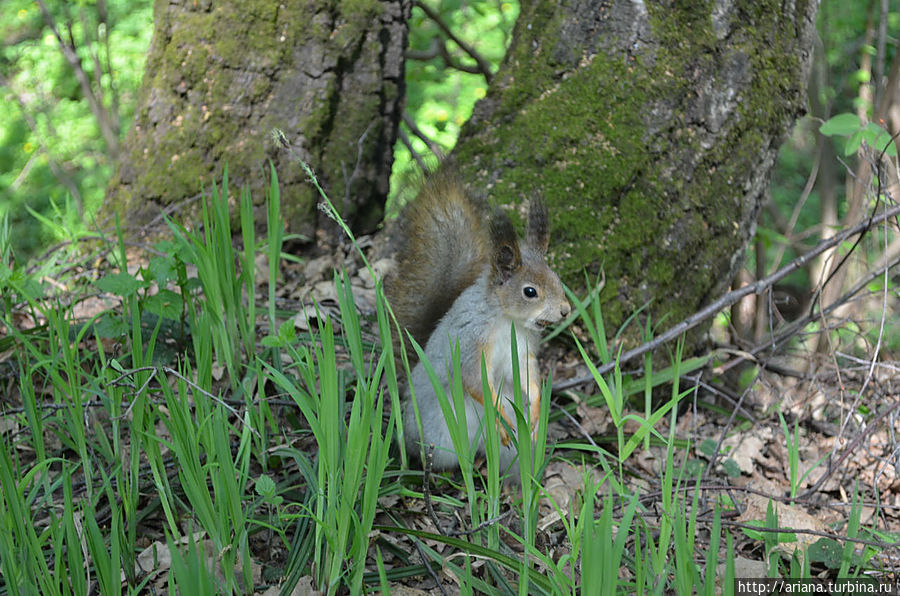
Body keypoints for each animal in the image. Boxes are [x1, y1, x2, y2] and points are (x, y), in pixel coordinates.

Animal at [386, 170, 568, 478]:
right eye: (530, 292)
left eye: (557, 278)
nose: (565, 311)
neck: (508, 321)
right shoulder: (471, 342)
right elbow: (474, 382)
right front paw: (499, 416)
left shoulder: (521, 351)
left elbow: (528, 378)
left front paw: (535, 409)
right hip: (439, 433)